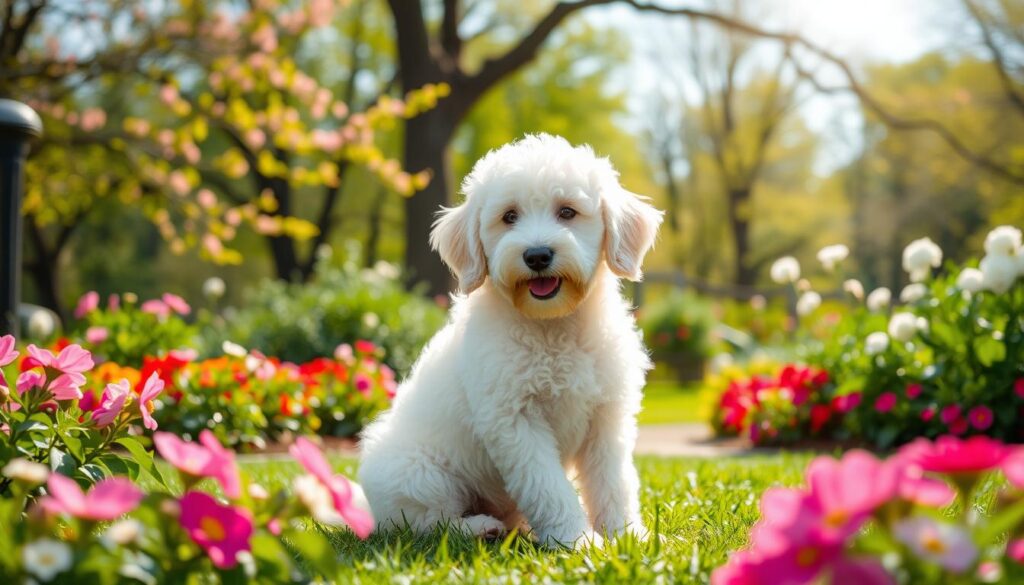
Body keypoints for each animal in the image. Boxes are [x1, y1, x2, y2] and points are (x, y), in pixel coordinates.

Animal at [360, 133, 663, 549]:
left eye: (567, 212)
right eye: (509, 217)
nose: (537, 255)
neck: (552, 327)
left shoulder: (607, 417)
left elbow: (613, 482)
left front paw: (627, 535)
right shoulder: (516, 421)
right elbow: (548, 486)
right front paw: (578, 541)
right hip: (418, 474)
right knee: (427, 522)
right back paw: (480, 527)